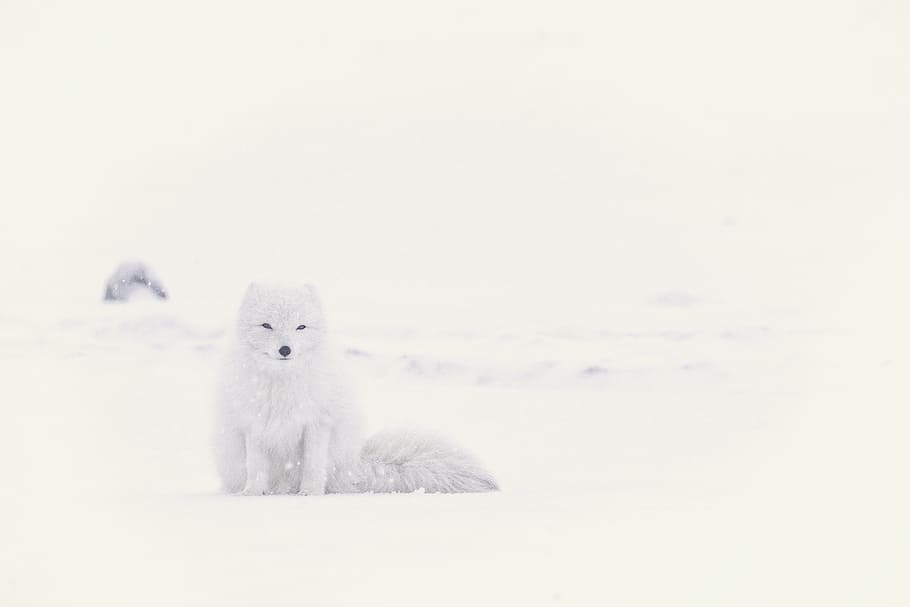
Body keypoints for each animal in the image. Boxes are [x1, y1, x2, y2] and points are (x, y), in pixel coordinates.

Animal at [214, 282, 498, 495]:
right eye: (266, 325)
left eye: (300, 327)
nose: (285, 349)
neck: (282, 384)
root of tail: (354, 464)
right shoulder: (253, 422)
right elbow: (255, 465)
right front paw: (253, 493)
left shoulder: (318, 422)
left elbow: (313, 463)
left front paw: (310, 493)